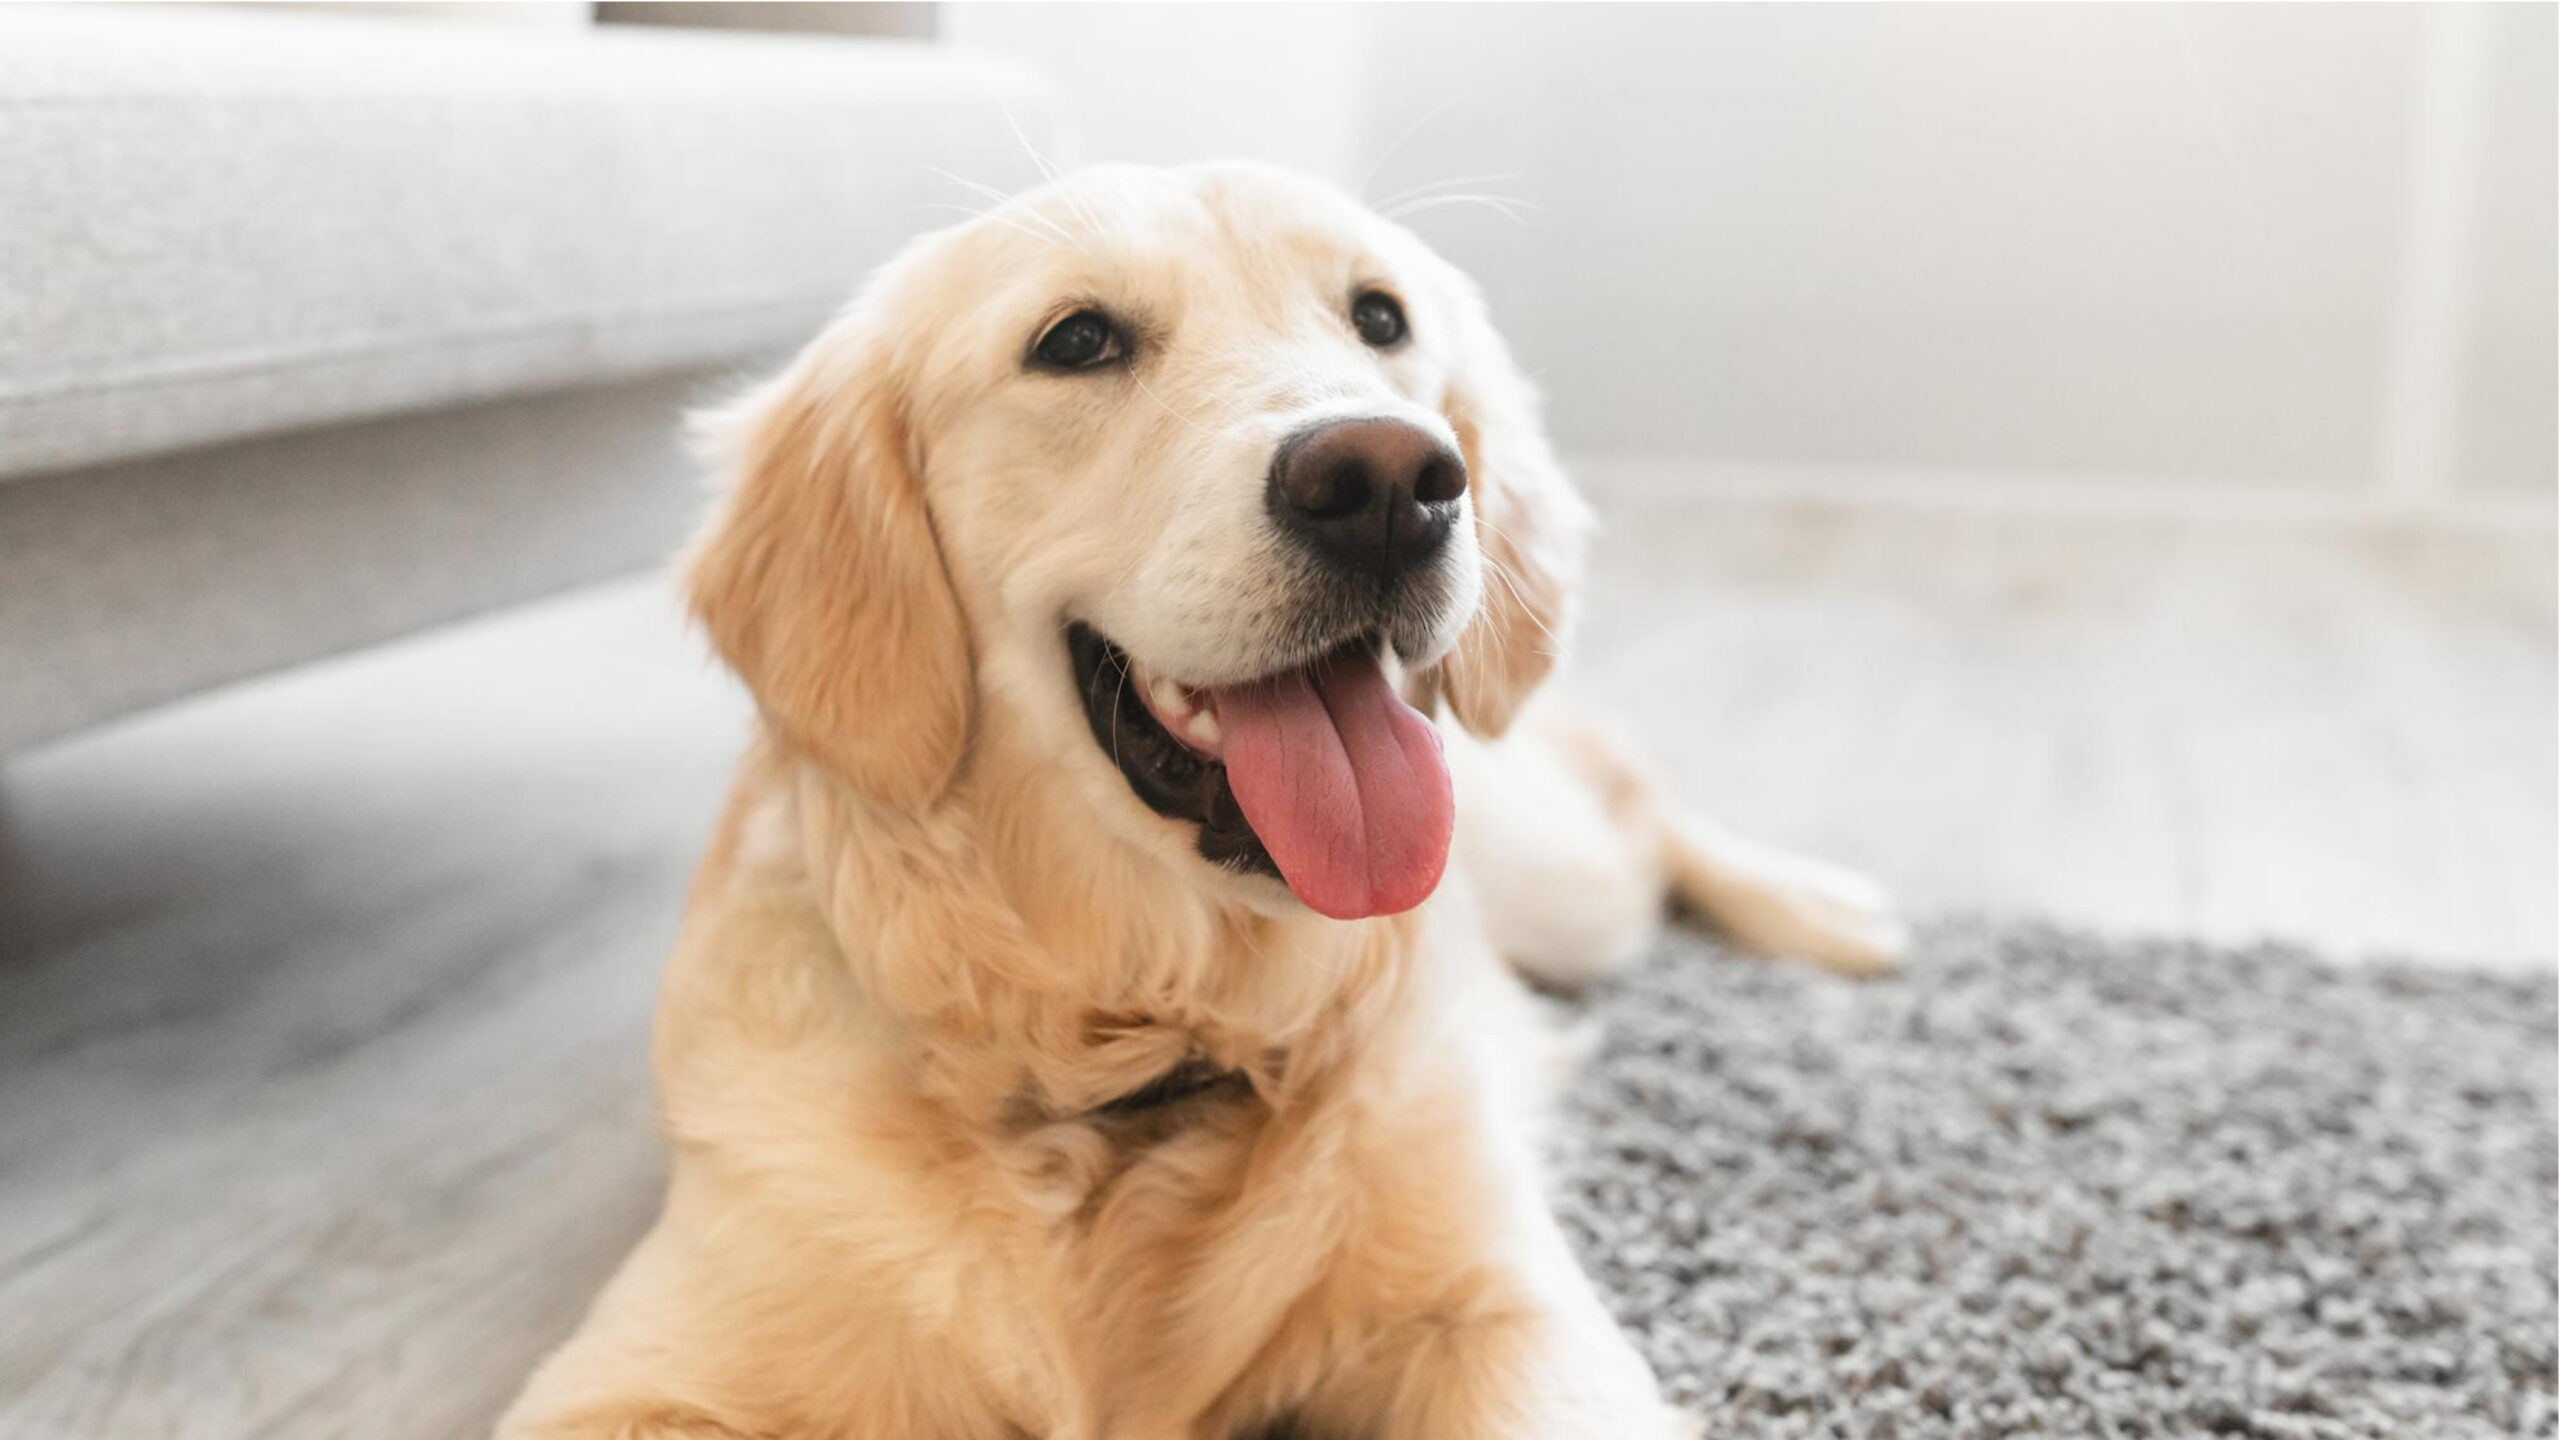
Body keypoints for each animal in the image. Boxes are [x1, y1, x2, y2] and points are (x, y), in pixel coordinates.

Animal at [499, 159, 1904, 1434]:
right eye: (1076, 340)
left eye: (1380, 317)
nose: (1391, 482)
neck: (1142, 1045)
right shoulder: (652, 1367)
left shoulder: (1499, 1310)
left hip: (1563, 884)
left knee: (1642, 807)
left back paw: (1828, 909)